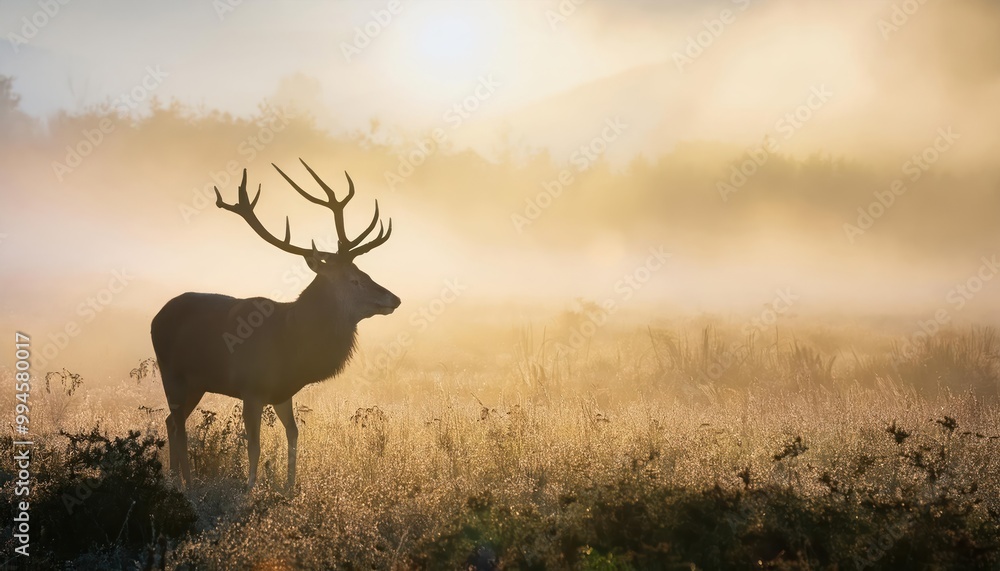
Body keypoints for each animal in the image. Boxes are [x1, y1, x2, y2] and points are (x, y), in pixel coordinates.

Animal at [151, 160, 400, 491]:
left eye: (364, 271)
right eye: (354, 279)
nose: (394, 298)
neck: (292, 345)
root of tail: (155, 317)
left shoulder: (283, 392)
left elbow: (293, 434)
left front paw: (291, 488)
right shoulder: (251, 388)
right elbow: (254, 444)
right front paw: (249, 489)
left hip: (196, 384)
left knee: (170, 422)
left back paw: (173, 479)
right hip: (172, 374)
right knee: (179, 426)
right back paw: (187, 484)